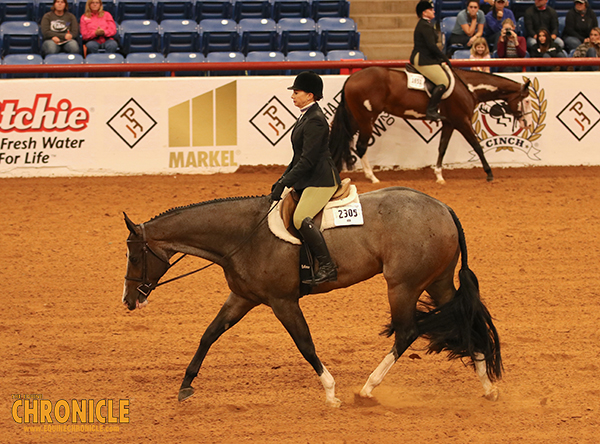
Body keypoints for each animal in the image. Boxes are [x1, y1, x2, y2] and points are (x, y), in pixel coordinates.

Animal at [123, 186, 502, 406]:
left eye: (134, 256)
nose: (128, 300)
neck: (244, 234)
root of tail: (442, 206)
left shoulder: (283, 302)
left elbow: (305, 344)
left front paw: (331, 392)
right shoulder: (242, 297)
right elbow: (209, 334)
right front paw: (185, 385)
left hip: (404, 285)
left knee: (408, 331)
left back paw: (367, 389)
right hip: (437, 282)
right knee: (464, 321)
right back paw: (487, 386)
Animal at [330, 65, 532, 182]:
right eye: (527, 101)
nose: (527, 123)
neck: (468, 87)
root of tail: (352, 78)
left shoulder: (450, 123)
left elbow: (442, 147)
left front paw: (439, 175)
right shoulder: (462, 121)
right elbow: (476, 145)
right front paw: (489, 173)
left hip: (356, 119)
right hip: (366, 119)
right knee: (361, 146)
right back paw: (372, 177)